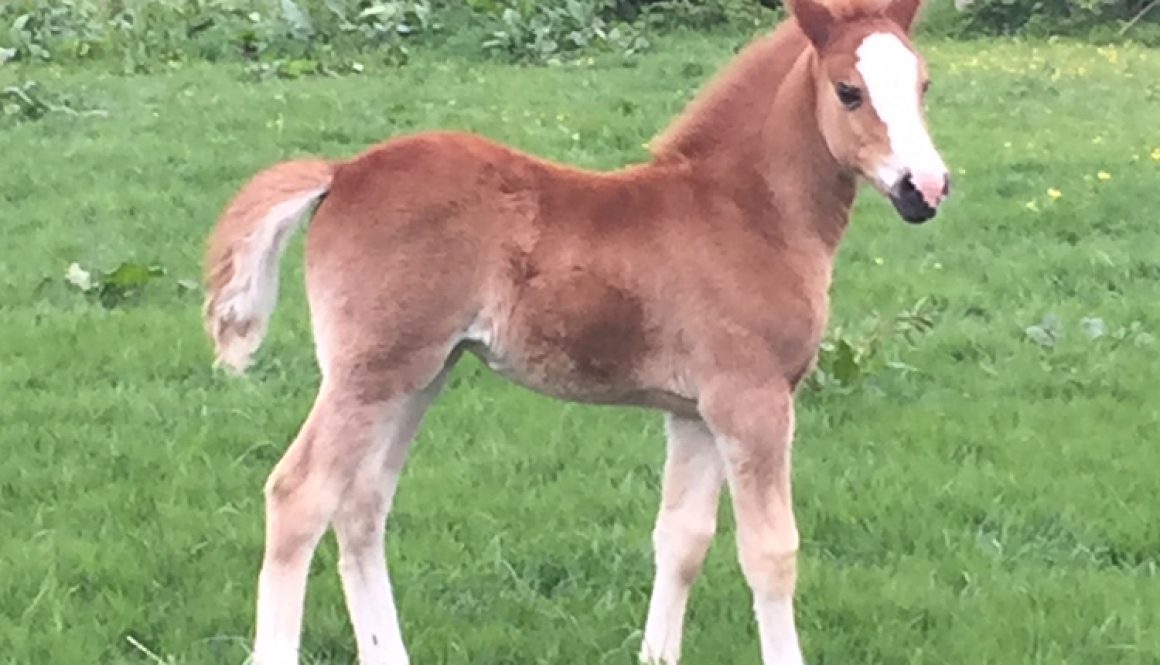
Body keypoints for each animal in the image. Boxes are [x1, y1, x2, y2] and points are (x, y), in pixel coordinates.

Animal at [204, 1, 951, 663]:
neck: (746, 211)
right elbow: (770, 552)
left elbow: (681, 539)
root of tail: (342, 172)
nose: (927, 188)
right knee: (299, 497)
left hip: (419, 375)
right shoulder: (753, 401)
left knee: (361, 506)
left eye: (922, 84)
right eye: (849, 91)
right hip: (369, 375)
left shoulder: (693, 412)